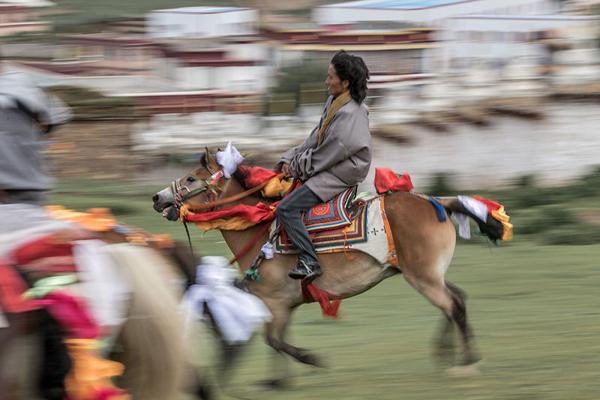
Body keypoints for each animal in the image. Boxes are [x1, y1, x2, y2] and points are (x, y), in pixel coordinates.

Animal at [154, 150, 488, 384]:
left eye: (191, 179)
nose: (158, 197)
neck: (259, 230)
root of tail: (438, 203)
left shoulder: (276, 301)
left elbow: (275, 340)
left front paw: (311, 360)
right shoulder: (284, 304)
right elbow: (276, 342)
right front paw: (277, 381)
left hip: (423, 276)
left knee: (453, 305)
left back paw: (466, 362)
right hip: (429, 274)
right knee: (456, 300)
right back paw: (446, 352)